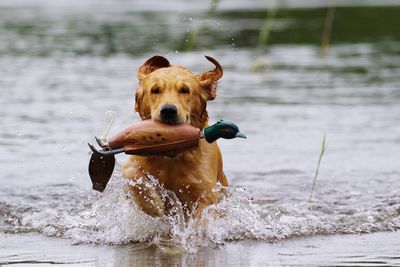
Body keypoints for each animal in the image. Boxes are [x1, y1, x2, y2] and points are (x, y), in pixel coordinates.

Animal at [122, 55, 227, 220]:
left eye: (185, 90)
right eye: (155, 90)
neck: (171, 152)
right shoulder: (132, 164)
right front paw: (153, 204)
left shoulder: (206, 192)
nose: (168, 111)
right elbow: (131, 173)